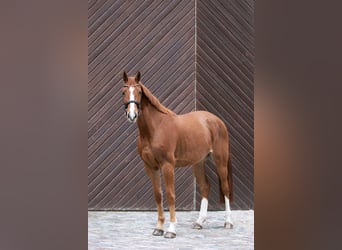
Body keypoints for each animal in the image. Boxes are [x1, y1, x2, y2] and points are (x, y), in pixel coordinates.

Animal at [121, 71, 234, 238]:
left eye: (139, 92)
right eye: (123, 92)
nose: (132, 115)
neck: (155, 128)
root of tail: (217, 121)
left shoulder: (167, 165)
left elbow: (170, 194)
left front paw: (171, 230)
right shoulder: (150, 167)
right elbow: (158, 194)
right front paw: (159, 228)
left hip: (220, 161)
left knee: (225, 188)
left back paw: (228, 222)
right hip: (198, 163)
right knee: (205, 187)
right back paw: (199, 222)